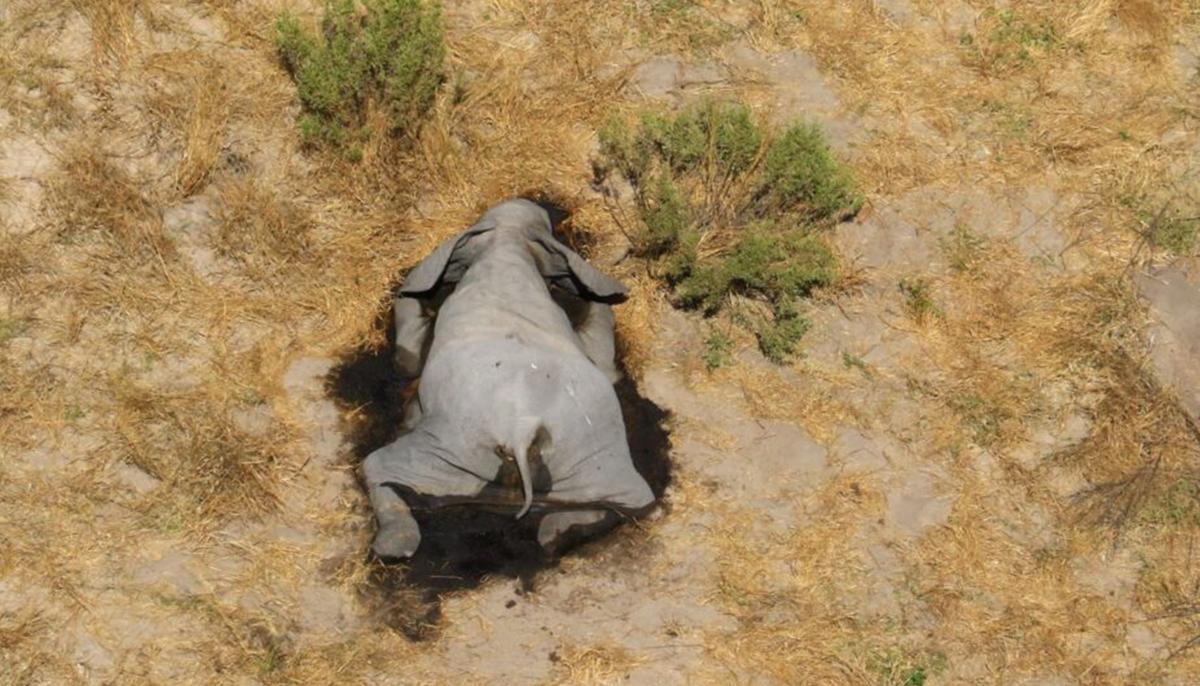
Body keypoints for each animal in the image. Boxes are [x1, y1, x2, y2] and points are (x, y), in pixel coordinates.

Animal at [363, 199, 656, 560]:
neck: (507, 244)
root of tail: (521, 433)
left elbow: (408, 359)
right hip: (593, 461)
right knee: (633, 503)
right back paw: (555, 534)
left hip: (448, 451)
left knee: (377, 467)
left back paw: (393, 544)